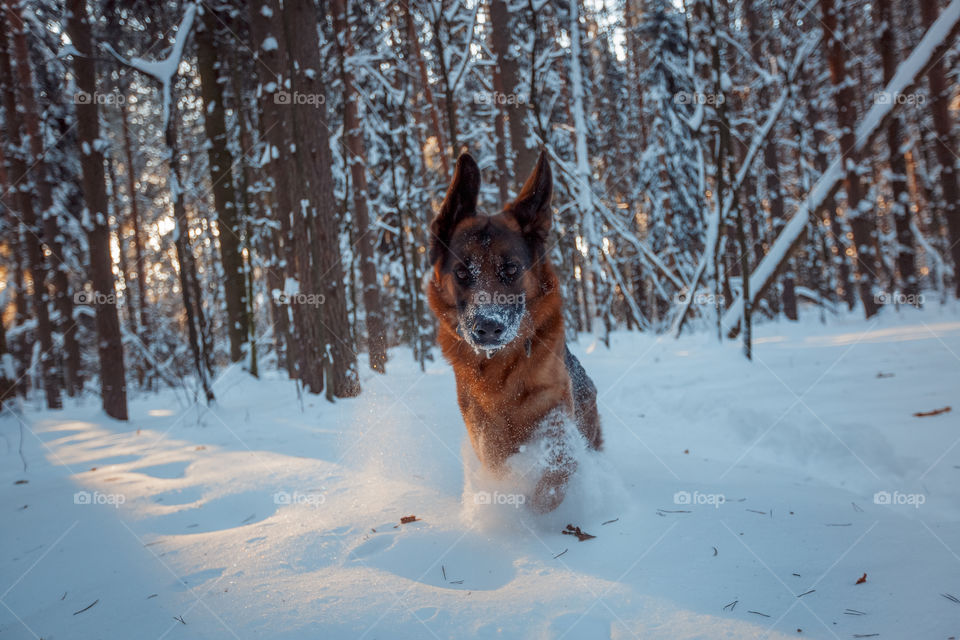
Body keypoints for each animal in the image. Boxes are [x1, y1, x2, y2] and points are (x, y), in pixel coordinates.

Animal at [428, 152, 600, 512]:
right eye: (462, 272)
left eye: (510, 269)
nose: (488, 328)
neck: (500, 368)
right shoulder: (485, 433)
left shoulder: (553, 405)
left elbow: (559, 457)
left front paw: (542, 499)